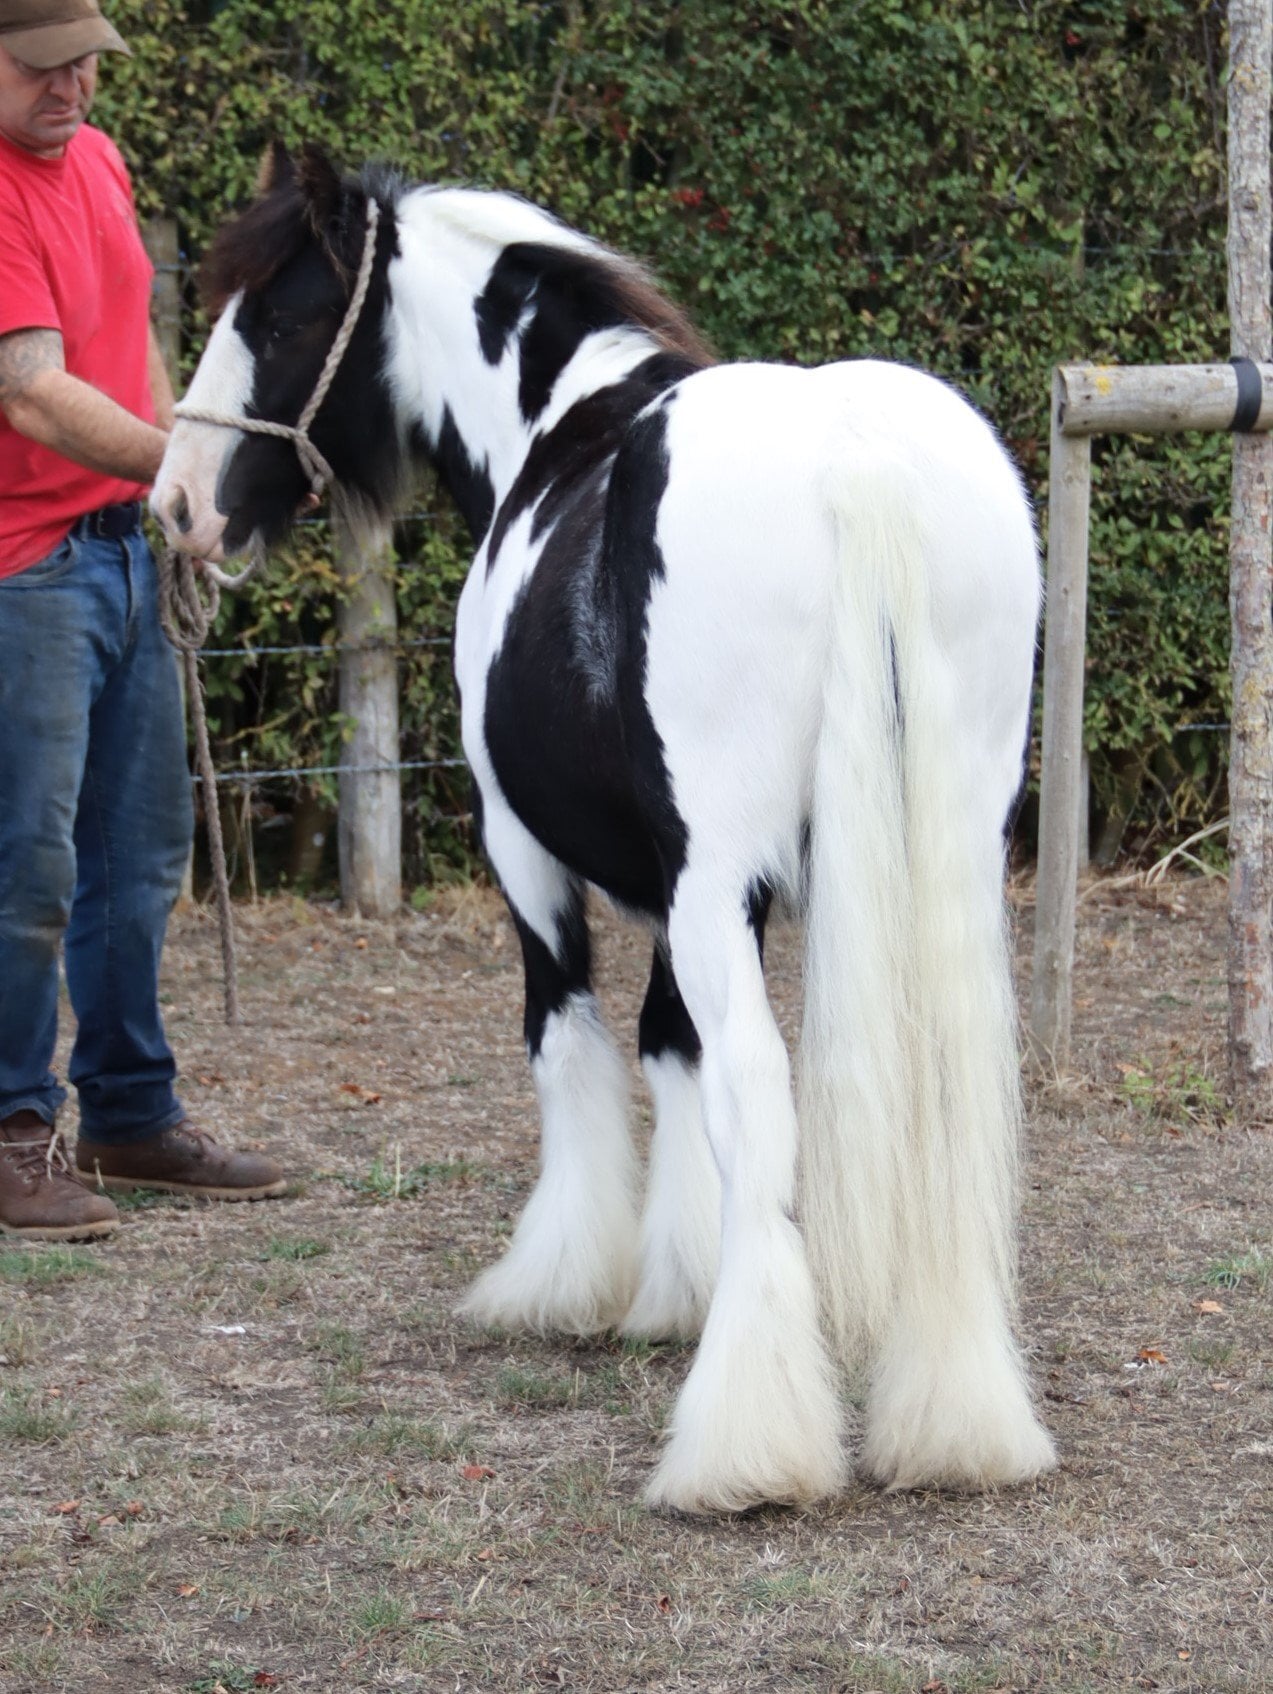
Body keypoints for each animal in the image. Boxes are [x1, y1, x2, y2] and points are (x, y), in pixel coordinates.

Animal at [152, 143, 1056, 1515]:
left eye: (286, 315)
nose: (182, 504)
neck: (557, 425)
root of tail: (853, 452)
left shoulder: (536, 856)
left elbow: (570, 1038)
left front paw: (566, 1281)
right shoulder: (705, 885)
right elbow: (664, 1043)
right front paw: (677, 1284)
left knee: (755, 1095)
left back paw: (744, 1447)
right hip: (945, 848)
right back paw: (957, 1420)